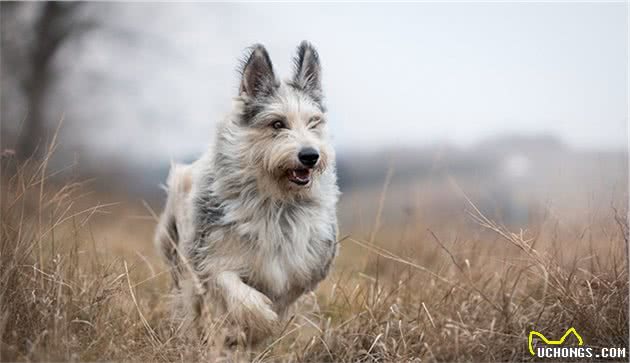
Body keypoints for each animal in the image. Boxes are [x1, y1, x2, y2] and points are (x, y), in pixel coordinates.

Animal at [154, 42, 340, 344]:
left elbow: (284, 300)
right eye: (277, 124)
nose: (310, 155)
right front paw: (258, 321)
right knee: (190, 302)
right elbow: (233, 288)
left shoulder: (298, 269)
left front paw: (262, 334)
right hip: (179, 254)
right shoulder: (210, 256)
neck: (275, 202)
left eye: (314, 123)